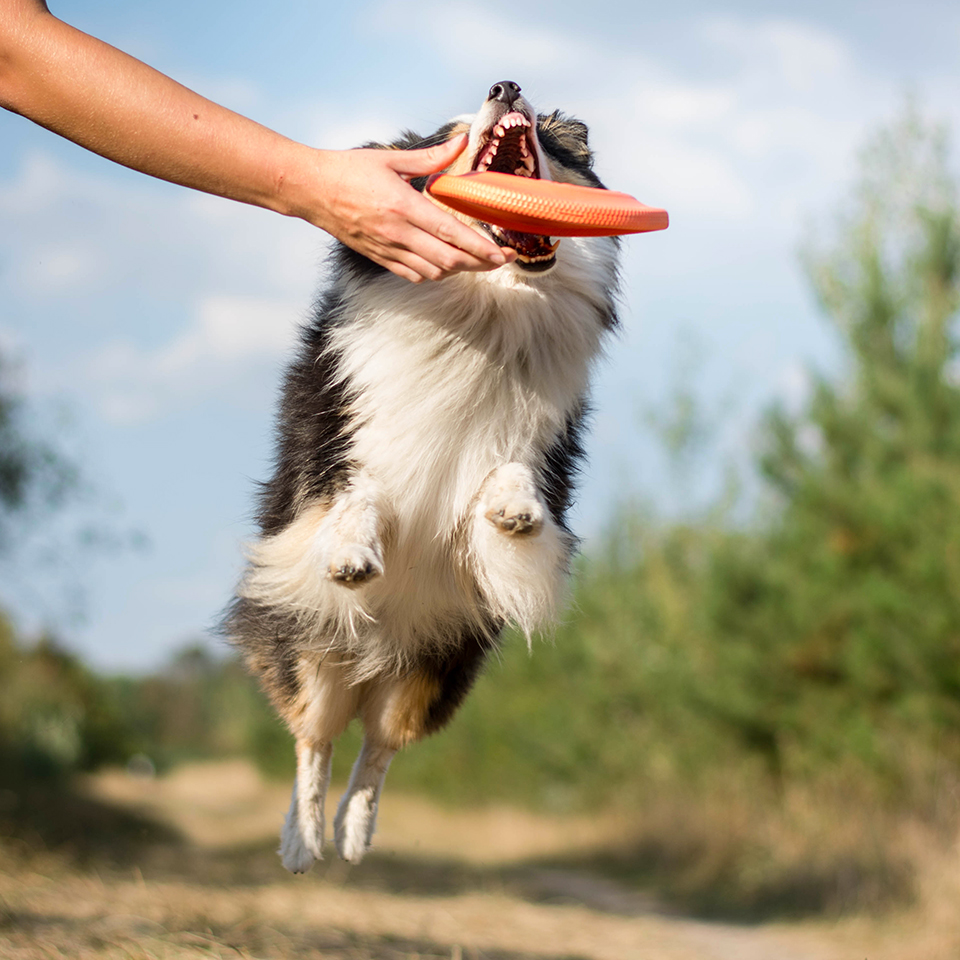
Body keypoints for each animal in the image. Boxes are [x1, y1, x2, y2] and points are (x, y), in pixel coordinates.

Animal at [229, 79, 628, 868]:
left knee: (378, 751)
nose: (507, 84)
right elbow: (360, 495)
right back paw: (302, 839)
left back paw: (354, 833)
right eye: (446, 134)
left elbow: (508, 479)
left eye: (547, 133)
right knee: (313, 740)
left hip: (431, 677)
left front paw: (513, 511)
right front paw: (353, 554)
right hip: (312, 656)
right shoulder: (337, 448)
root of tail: (369, 674)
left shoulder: (541, 458)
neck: (489, 308)